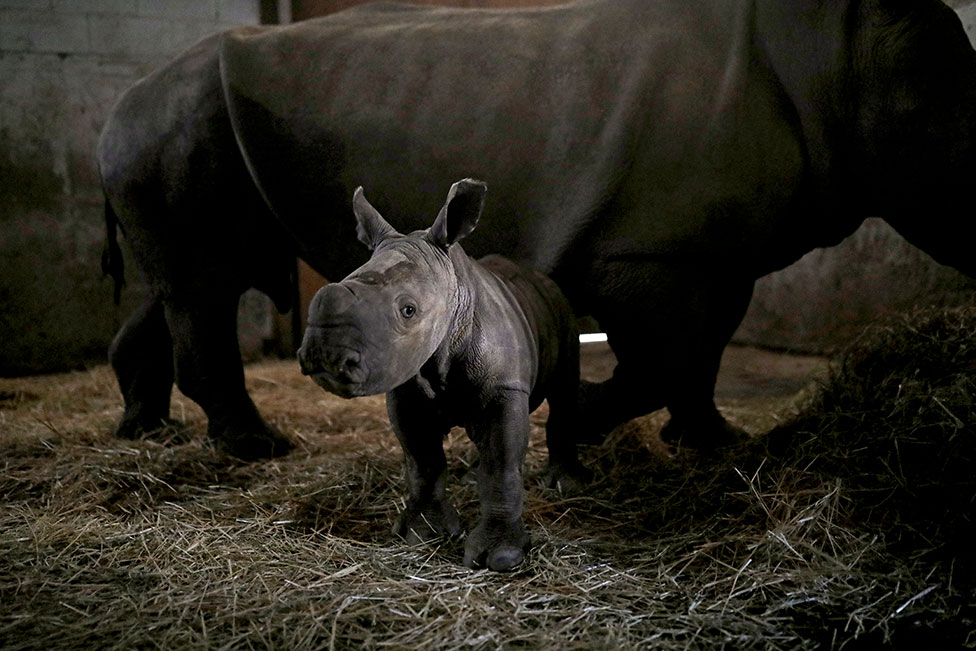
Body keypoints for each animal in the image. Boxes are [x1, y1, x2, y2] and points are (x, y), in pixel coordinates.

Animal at [97, 0, 976, 460]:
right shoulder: (647, 251)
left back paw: (142, 429)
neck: (840, 58)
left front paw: (713, 444)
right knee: (204, 286)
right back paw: (261, 448)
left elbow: (703, 353)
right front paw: (579, 422)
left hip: (171, 132)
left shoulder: (712, 252)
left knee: (184, 283)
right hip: (175, 125)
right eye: (948, 154)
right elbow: (666, 357)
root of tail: (116, 105)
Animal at [298, 178, 588, 572]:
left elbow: (502, 465)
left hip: (562, 310)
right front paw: (422, 531)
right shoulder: (405, 390)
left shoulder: (504, 389)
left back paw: (565, 484)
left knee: (562, 394)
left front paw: (501, 555)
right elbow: (424, 461)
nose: (325, 354)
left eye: (408, 310)